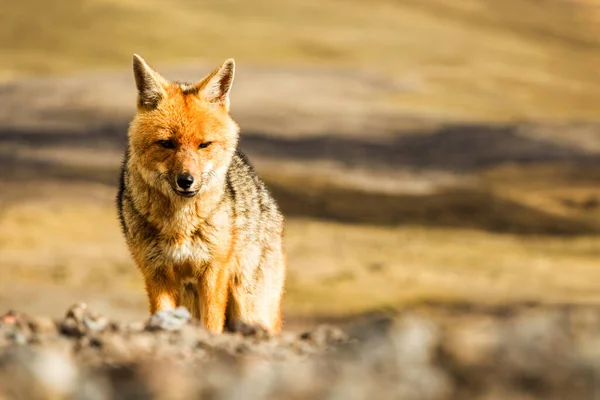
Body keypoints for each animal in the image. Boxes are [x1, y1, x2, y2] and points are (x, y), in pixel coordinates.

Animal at [118, 54, 288, 332]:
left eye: (204, 145)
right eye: (167, 144)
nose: (186, 181)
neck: (180, 226)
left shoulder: (213, 272)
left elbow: (212, 324)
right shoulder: (156, 274)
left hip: (249, 307)